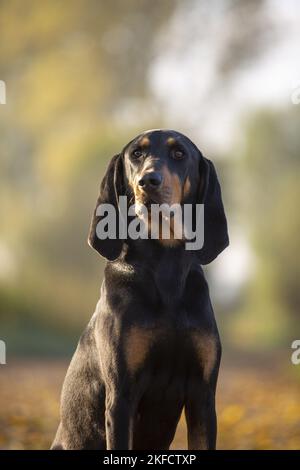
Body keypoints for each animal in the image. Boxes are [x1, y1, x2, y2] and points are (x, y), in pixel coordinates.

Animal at [52, 129, 230, 452]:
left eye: (178, 153)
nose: (147, 181)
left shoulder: (203, 396)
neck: (165, 268)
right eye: (136, 154)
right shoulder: (121, 397)